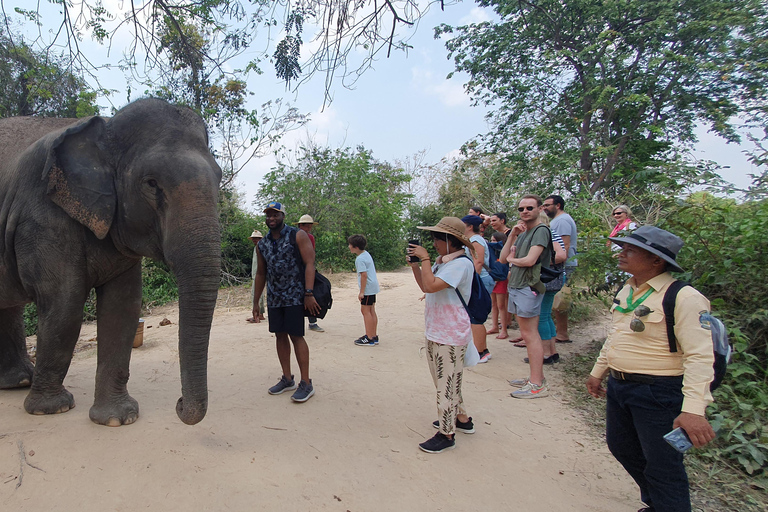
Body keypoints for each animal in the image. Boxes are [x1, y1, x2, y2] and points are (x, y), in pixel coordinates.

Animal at [0, 98, 222, 426]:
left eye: (219, 177)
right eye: (151, 183)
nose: (180, 404)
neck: (105, 129)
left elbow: (124, 306)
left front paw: (117, 419)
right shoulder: (41, 216)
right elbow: (65, 304)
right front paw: (51, 409)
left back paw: (19, 381)